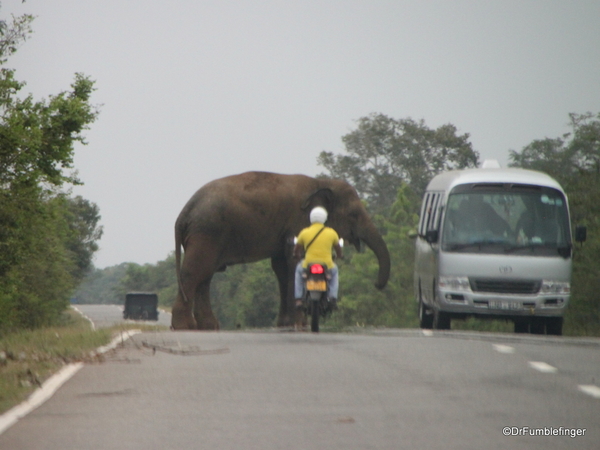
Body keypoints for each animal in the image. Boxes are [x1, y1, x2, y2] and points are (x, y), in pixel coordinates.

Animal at [171, 171, 392, 328]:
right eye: (354, 214)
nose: (377, 284)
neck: (320, 183)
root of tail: (183, 214)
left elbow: (282, 268)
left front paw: (286, 324)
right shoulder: (298, 221)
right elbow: (293, 261)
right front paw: (298, 324)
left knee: (205, 275)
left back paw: (208, 327)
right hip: (207, 233)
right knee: (195, 271)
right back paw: (185, 327)